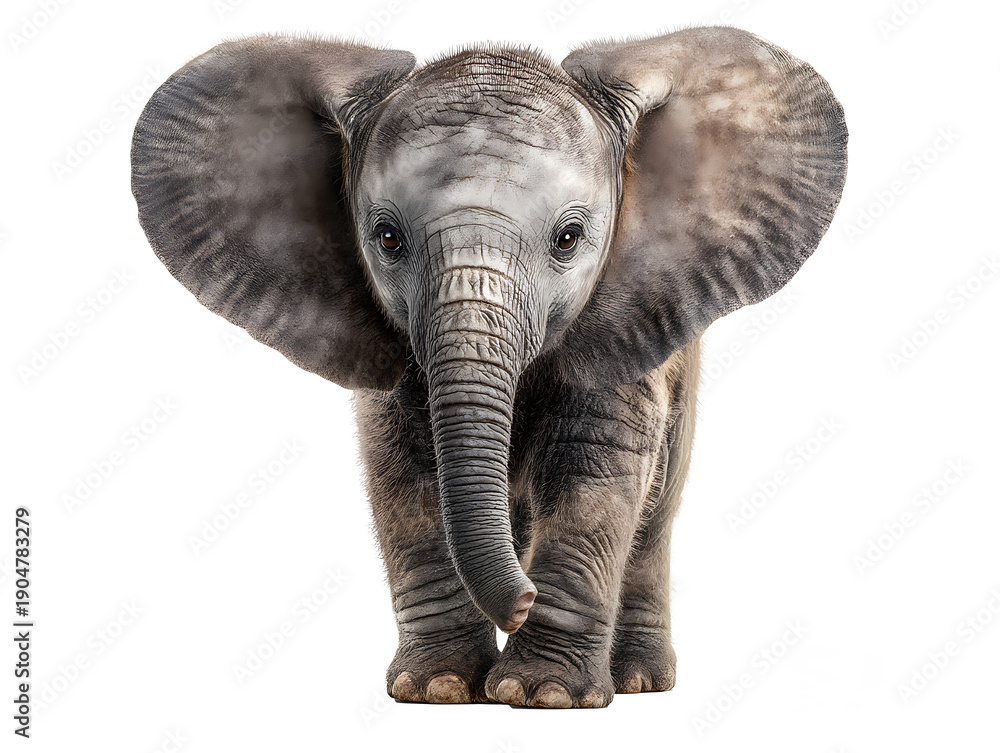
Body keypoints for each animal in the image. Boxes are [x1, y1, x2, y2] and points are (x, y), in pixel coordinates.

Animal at [131, 26, 847, 708]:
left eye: (569, 238)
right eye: (386, 237)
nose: (523, 599)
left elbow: (595, 466)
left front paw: (541, 695)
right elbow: (402, 468)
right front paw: (441, 689)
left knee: (656, 511)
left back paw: (640, 680)